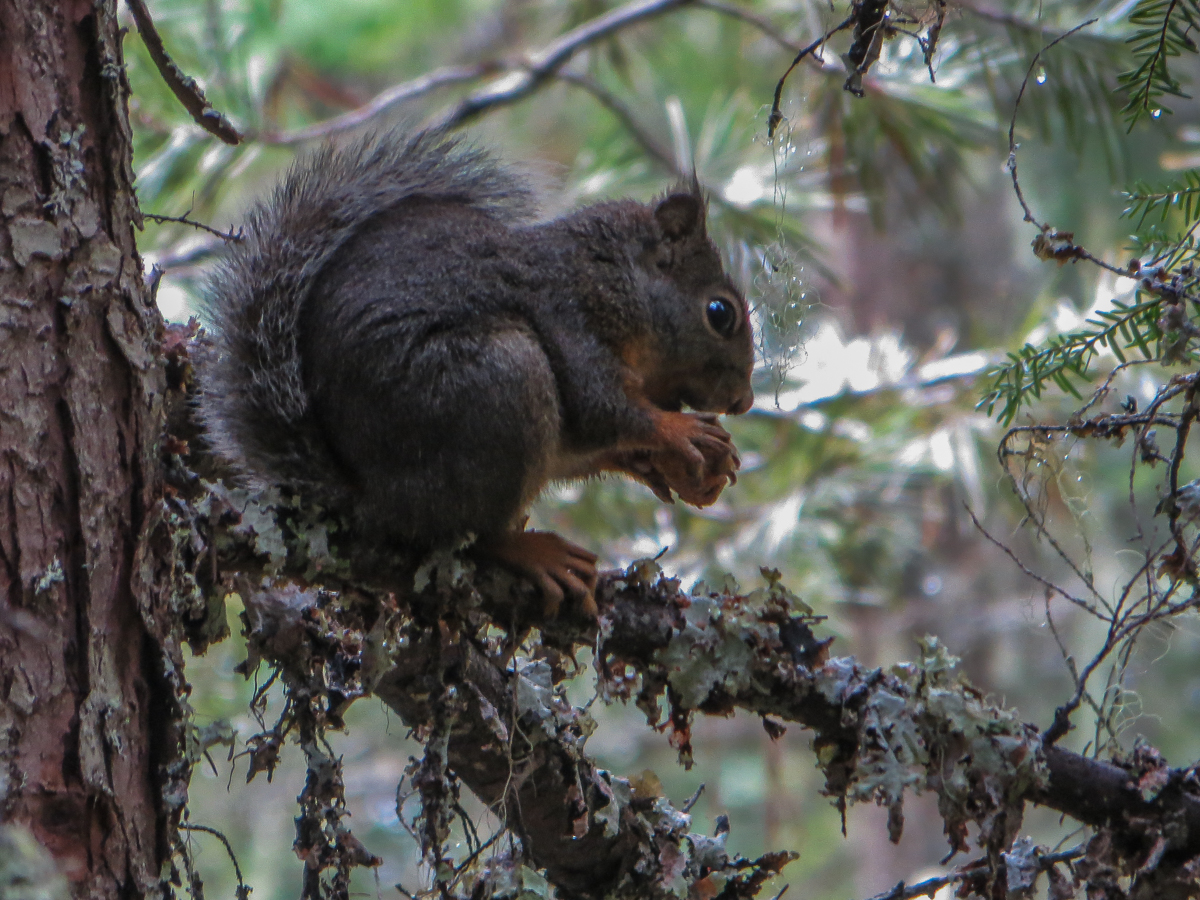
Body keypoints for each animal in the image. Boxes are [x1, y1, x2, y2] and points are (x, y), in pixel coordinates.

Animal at [201, 130, 753, 619]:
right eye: (720, 313)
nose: (744, 401)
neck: (608, 277)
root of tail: (370, 500)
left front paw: (674, 465)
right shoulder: (567, 316)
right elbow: (601, 407)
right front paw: (678, 431)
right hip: (500, 383)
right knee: (461, 533)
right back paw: (531, 553)